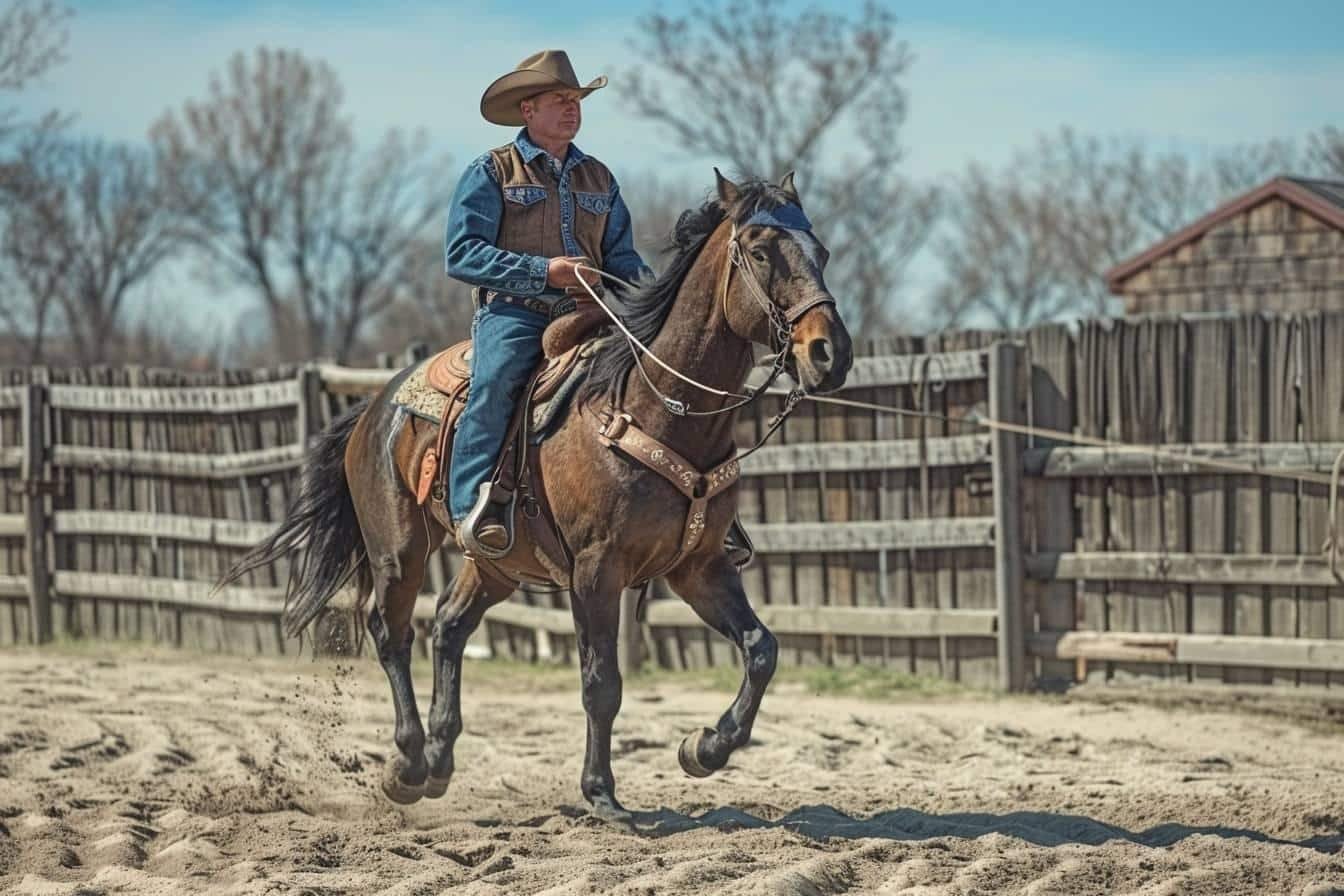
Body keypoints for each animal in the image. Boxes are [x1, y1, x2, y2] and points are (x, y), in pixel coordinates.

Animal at [220, 167, 849, 822]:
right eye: (760, 251)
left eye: (822, 252)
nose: (830, 353)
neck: (652, 405)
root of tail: (373, 407)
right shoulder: (596, 571)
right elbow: (601, 684)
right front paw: (602, 793)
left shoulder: (698, 566)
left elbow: (761, 648)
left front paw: (704, 748)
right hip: (398, 550)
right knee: (392, 632)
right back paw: (408, 763)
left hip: (495, 559)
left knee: (449, 624)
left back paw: (439, 759)